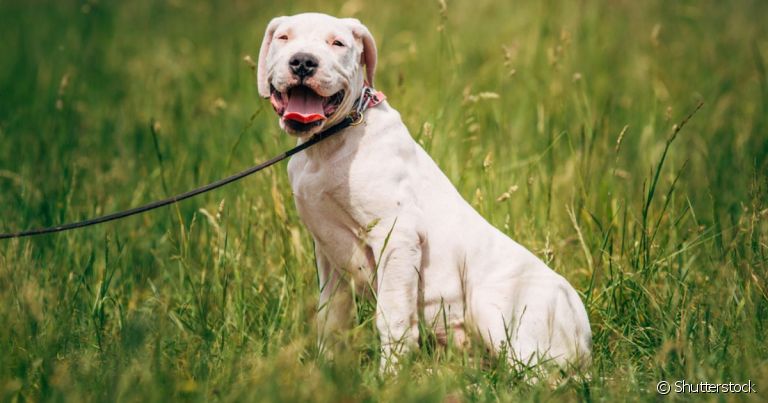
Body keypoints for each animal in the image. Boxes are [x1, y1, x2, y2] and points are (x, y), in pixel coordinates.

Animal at [255, 11, 592, 372]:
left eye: (338, 43)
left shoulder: (397, 236)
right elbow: (331, 318)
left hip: (494, 306)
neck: (330, 142)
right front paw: (324, 370)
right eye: (284, 38)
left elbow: (392, 319)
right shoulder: (329, 255)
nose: (303, 62)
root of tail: (583, 331)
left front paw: (389, 376)